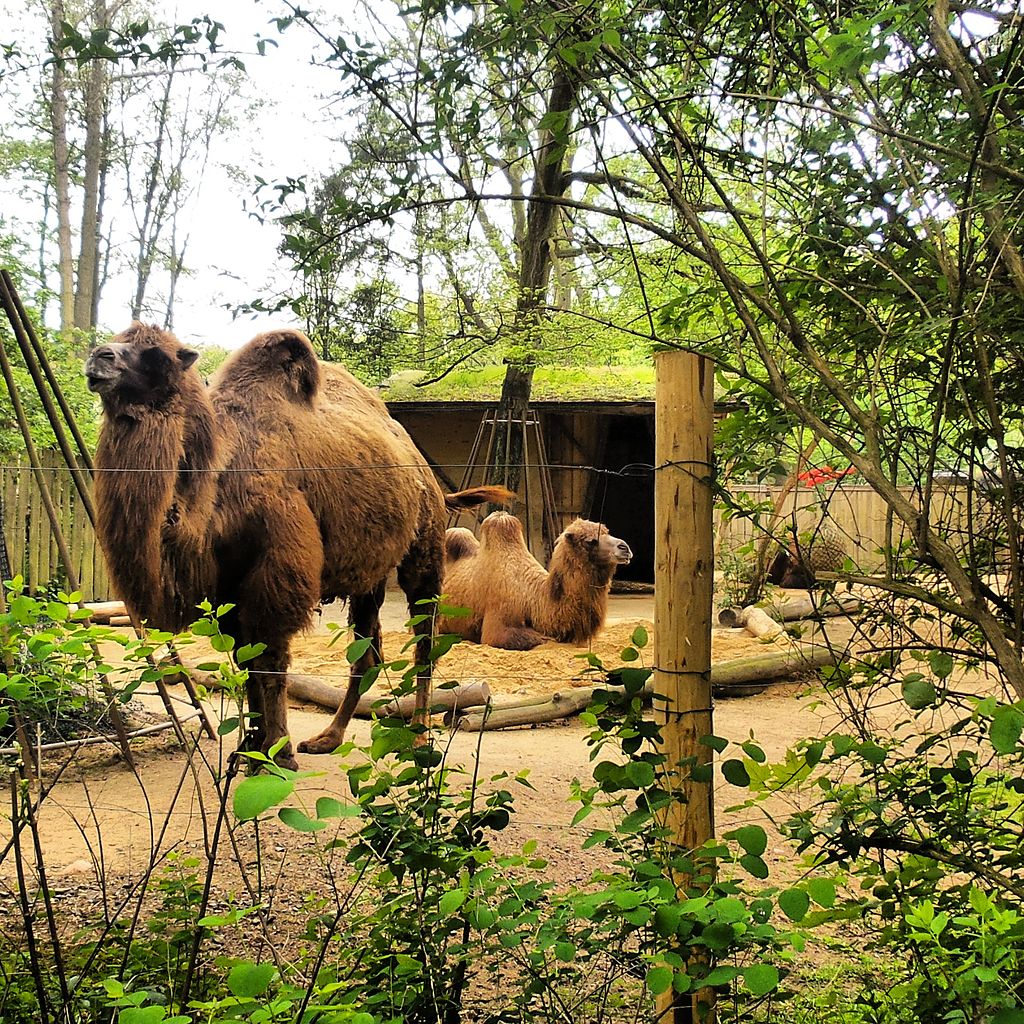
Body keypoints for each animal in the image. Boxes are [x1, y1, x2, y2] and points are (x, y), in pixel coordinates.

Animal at [86, 323, 509, 765]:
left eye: (157, 355)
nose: (99, 357)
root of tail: (426, 473)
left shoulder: (277, 571)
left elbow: (272, 663)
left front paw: (278, 753)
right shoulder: (228, 589)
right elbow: (248, 663)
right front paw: (251, 751)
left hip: (424, 546)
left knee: (424, 638)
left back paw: (420, 736)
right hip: (369, 571)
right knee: (366, 648)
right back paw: (329, 737)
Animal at [438, 509, 630, 647]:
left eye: (607, 531)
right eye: (590, 541)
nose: (625, 547)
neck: (533, 598)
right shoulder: (499, 621)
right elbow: (536, 639)